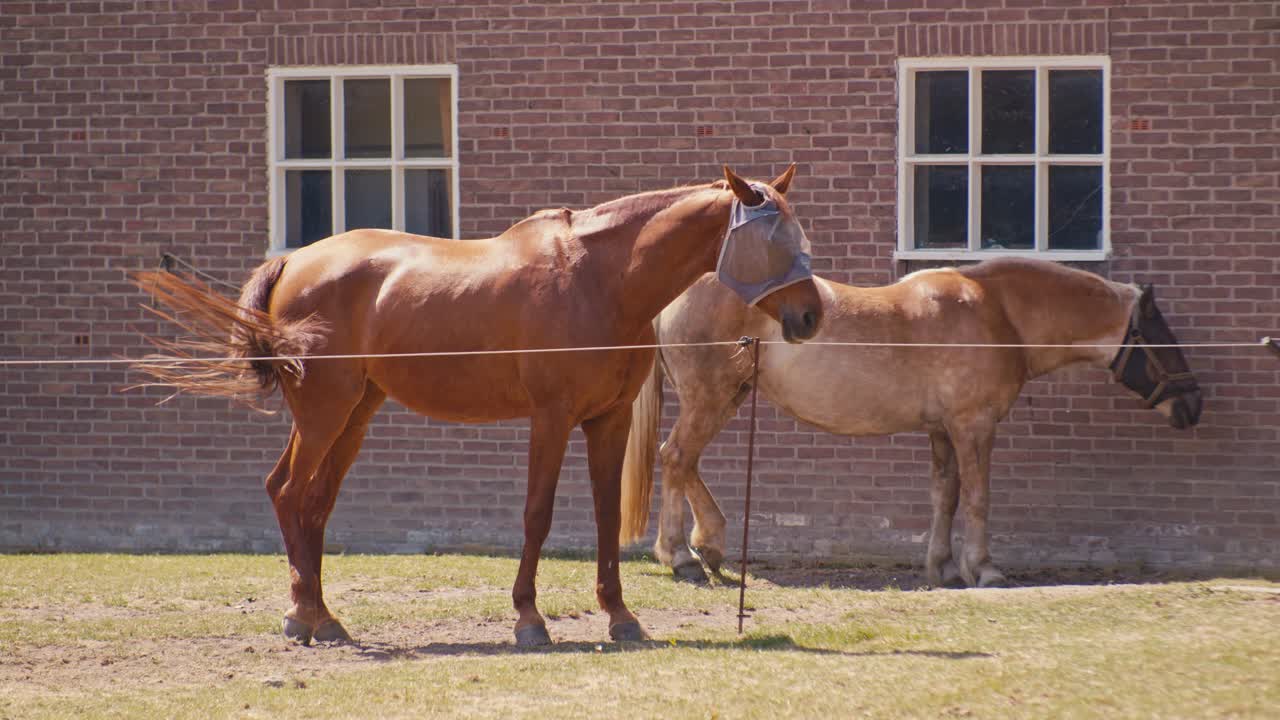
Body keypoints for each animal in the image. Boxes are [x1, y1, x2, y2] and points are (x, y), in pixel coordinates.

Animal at [132, 165, 824, 647]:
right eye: (772, 238)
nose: (811, 316)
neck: (600, 278)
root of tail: (296, 260)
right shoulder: (551, 418)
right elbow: (537, 516)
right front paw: (529, 620)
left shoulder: (608, 421)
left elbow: (605, 518)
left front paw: (621, 617)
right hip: (324, 412)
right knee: (290, 493)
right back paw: (305, 617)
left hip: (356, 413)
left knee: (312, 503)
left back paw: (323, 617)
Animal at [619, 258, 1203, 588]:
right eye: (1161, 335)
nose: (1194, 405)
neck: (997, 314)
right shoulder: (974, 425)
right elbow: (978, 497)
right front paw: (984, 569)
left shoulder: (943, 430)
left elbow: (945, 495)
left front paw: (941, 568)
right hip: (710, 396)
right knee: (676, 458)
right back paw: (681, 557)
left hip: (729, 396)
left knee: (685, 463)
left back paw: (710, 545)